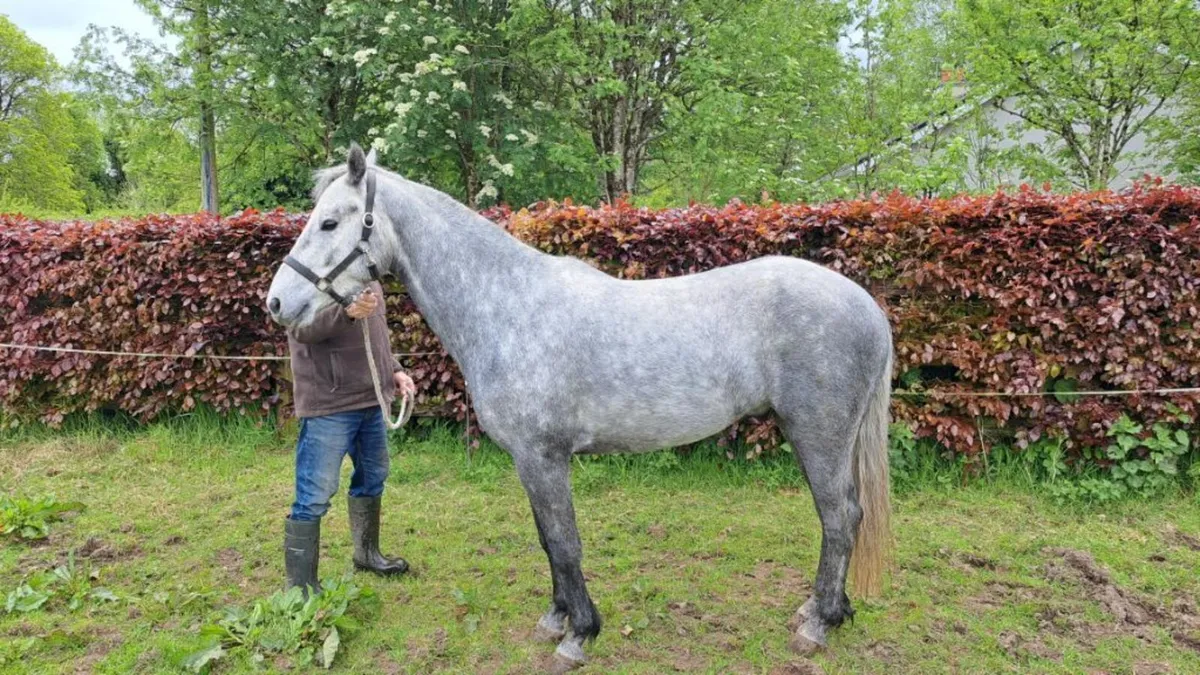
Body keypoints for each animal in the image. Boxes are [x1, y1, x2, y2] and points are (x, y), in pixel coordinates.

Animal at [267, 144, 893, 669]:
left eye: (330, 221)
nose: (276, 302)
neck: (508, 306)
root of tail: (868, 307)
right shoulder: (529, 461)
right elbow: (549, 541)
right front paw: (556, 619)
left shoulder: (544, 457)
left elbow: (565, 543)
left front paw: (579, 635)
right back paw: (825, 610)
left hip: (817, 434)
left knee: (840, 518)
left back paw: (818, 624)